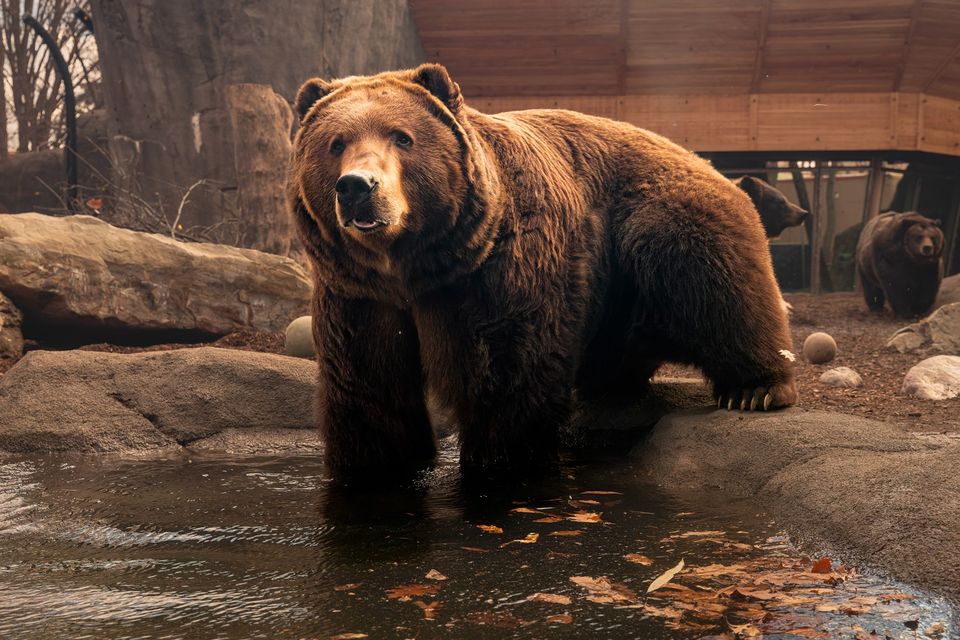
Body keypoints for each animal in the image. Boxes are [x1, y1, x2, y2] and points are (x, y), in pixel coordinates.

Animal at [290, 64, 798, 478]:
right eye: (335, 143)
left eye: (402, 136)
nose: (358, 187)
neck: (417, 267)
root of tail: (700, 157)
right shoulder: (358, 295)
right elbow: (368, 389)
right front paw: (376, 463)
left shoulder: (504, 271)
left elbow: (508, 375)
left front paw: (501, 461)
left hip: (658, 222)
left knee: (716, 284)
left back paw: (755, 389)